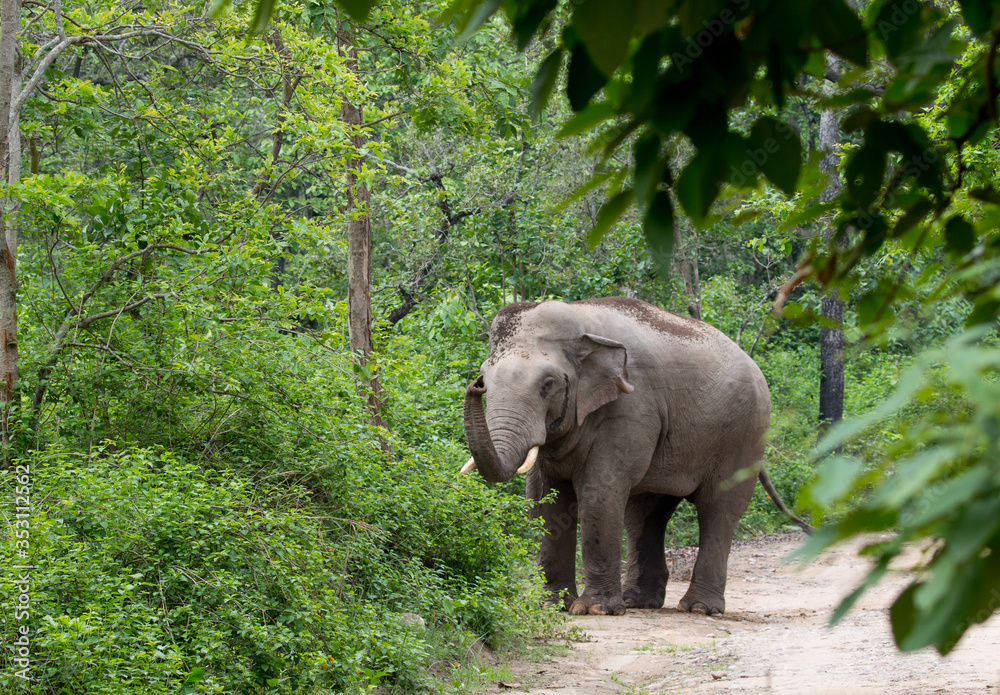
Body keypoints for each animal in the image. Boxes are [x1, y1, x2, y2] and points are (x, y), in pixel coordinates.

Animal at [461, 297, 810, 617]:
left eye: (548, 384)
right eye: (485, 379)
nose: (474, 386)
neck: (581, 319)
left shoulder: (631, 406)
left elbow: (600, 491)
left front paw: (594, 609)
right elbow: (544, 500)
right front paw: (553, 606)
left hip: (744, 433)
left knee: (717, 507)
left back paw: (699, 608)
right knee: (644, 511)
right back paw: (638, 602)